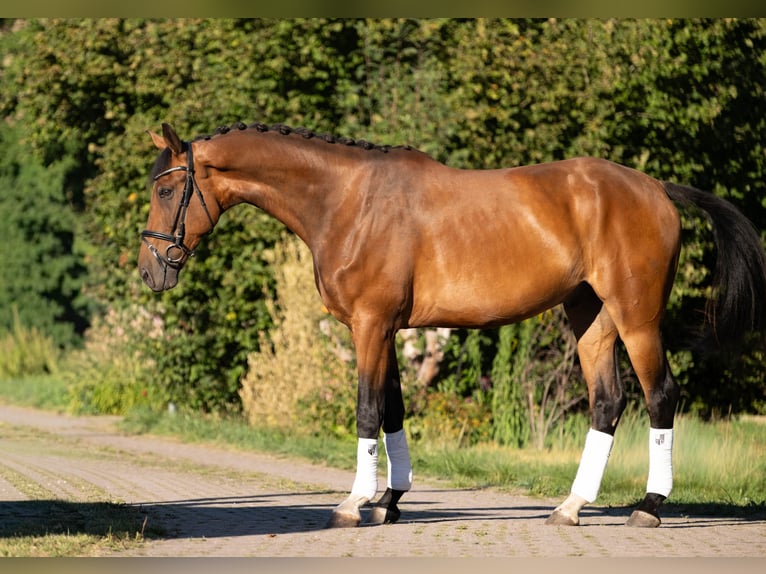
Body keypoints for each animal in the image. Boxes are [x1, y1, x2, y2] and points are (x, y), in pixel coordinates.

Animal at [138, 121, 766, 529]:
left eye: (167, 189)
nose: (151, 270)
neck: (346, 200)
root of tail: (656, 187)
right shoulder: (386, 330)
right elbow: (392, 410)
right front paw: (389, 501)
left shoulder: (369, 326)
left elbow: (366, 410)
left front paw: (353, 504)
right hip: (590, 316)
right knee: (607, 403)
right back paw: (570, 507)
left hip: (637, 317)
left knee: (661, 396)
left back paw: (649, 506)